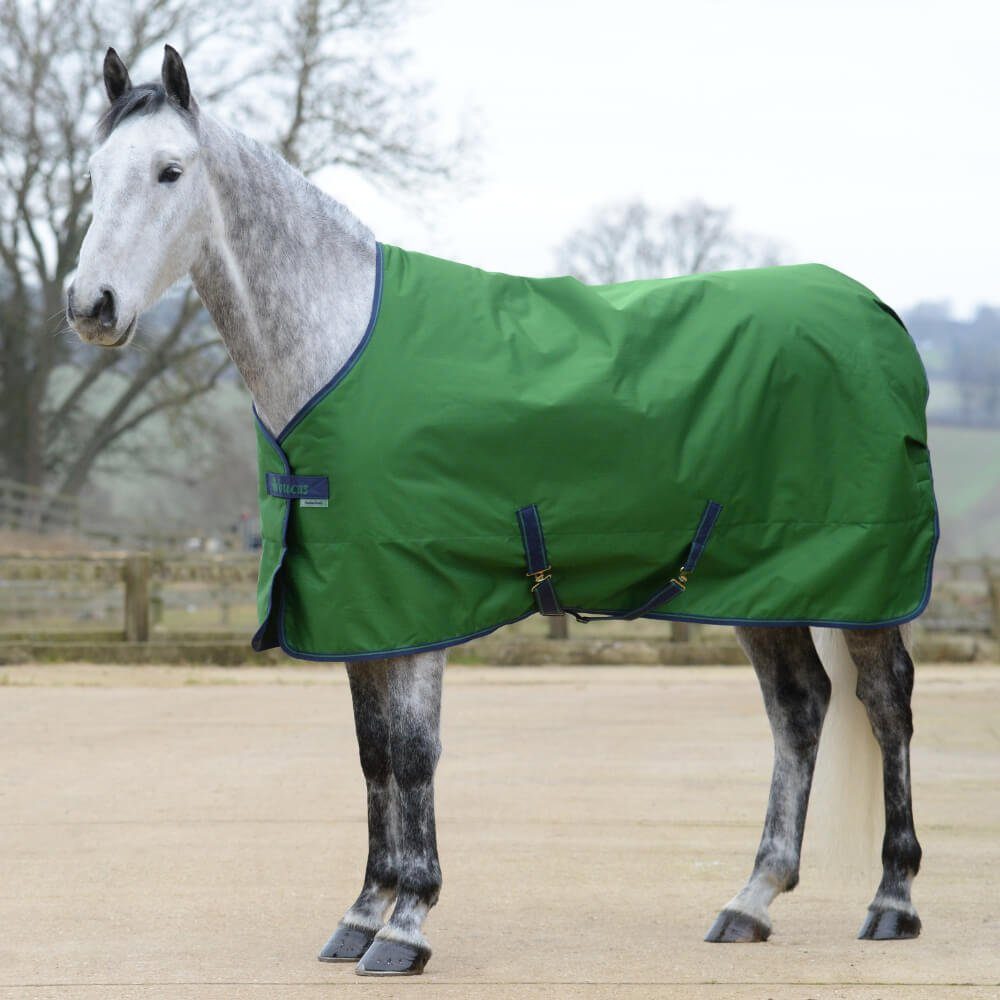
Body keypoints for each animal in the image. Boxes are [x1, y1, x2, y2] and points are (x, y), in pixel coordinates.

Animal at [66, 45, 925, 976]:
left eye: (170, 170)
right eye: (93, 172)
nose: (90, 306)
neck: (337, 346)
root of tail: (875, 311)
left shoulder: (413, 601)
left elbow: (413, 756)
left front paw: (406, 925)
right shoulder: (356, 606)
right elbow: (372, 755)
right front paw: (362, 914)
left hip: (863, 586)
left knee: (886, 704)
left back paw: (892, 899)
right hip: (760, 586)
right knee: (799, 707)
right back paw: (750, 902)